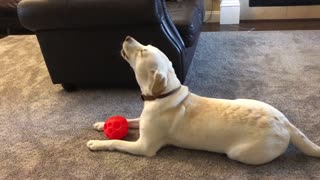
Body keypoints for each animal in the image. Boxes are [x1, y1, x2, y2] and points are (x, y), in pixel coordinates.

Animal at [86, 36, 318, 165]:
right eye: (146, 45)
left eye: (143, 51)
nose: (127, 37)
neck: (164, 94)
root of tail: (286, 124)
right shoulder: (142, 122)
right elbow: (130, 119)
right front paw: (101, 124)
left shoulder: (144, 146)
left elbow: (117, 142)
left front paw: (96, 143)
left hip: (239, 153)